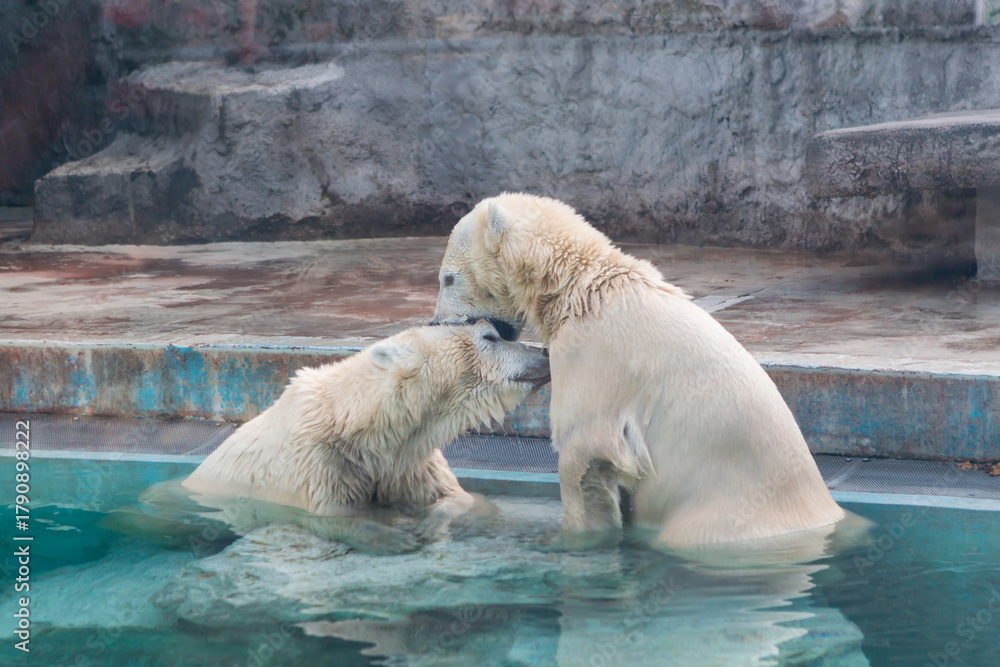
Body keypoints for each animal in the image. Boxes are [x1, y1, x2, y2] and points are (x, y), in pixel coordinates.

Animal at [179, 322, 550, 551]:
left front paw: (430, 522)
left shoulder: (407, 459)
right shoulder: (319, 462)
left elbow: (458, 497)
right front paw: (392, 538)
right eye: (490, 336)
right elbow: (333, 516)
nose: (544, 354)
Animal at [430, 193, 845, 549]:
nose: (435, 323)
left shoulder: (592, 357)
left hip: (719, 515)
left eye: (448, 278)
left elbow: (583, 448)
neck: (579, 290)